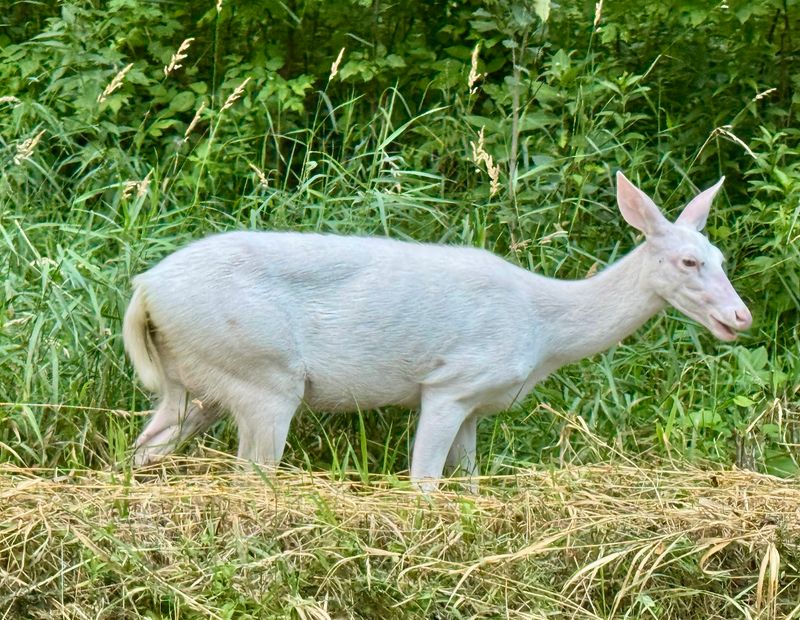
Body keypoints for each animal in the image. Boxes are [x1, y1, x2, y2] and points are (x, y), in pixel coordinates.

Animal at [123, 171, 752, 490]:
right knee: (250, 475)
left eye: (720, 257)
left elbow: (468, 483)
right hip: (263, 371)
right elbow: (423, 482)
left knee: (144, 448)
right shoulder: (453, 382)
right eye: (690, 261)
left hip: (197, 380)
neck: (544, 329)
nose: (741, 317)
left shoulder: (477, 406)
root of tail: (145, 289)